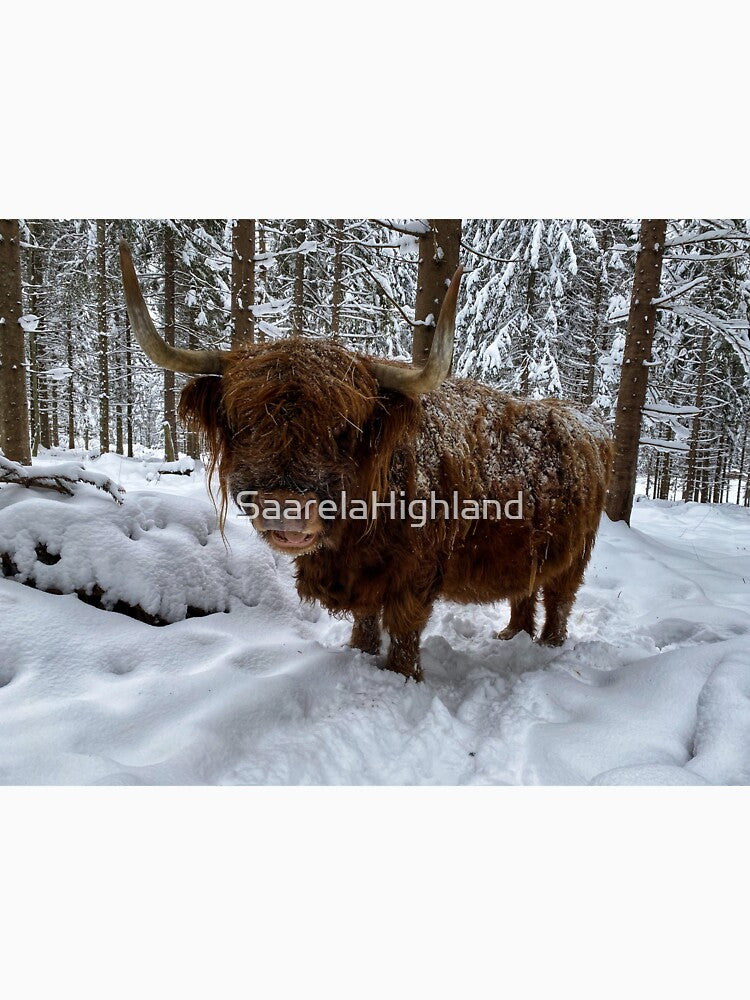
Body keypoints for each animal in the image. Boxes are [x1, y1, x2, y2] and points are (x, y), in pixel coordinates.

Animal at [120, 240, 612, 682]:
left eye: (345, 430)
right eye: (244, 424)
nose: (286, 506)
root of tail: (587, 420)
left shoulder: (416, 570)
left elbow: (404, 624)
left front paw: (402, 675)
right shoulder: (360, 575)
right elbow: (365, 616)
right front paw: (360, 651)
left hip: (576, 553)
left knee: (559, 599)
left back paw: (546, 646)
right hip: (531, 550)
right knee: (524, 592)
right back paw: (512, 636)